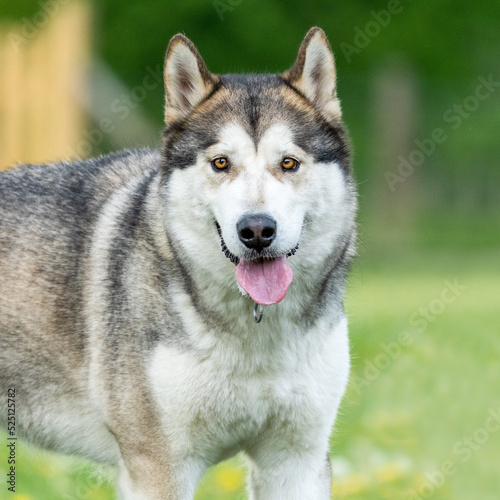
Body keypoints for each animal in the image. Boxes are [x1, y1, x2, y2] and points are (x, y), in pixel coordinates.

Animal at [0, 28, 360, 500]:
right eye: (221, 163)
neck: (256, 336)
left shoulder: (296, 461)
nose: (256, 230)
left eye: (288, 163)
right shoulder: (159, 467)